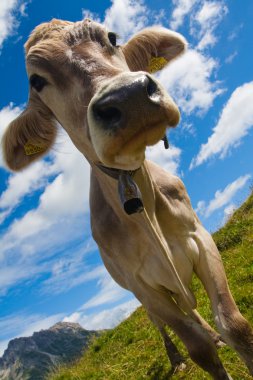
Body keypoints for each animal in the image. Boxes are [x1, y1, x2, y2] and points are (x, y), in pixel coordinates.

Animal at [2, 19, 253, 378]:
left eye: (111, 37)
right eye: (37, 80)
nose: (128, 96)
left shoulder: (200, 238)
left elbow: (234, 325)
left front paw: (223, 335)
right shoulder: (143, 288)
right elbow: (198, 349)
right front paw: (197, 350)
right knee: (166, 324)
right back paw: (176, 357)